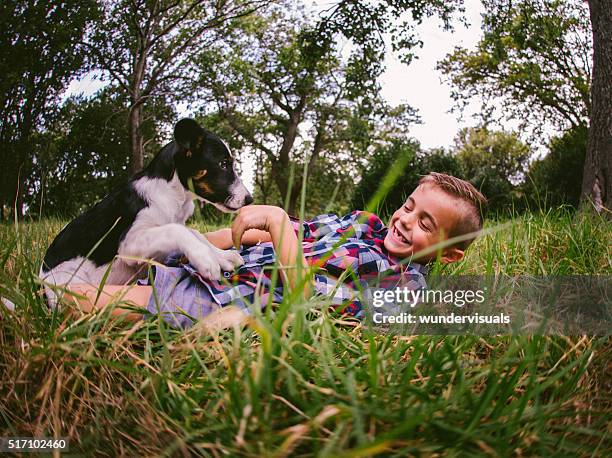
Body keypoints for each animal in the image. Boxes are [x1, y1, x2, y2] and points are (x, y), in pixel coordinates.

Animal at [40, 117, 251, 308]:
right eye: (223, 164)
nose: (249, 200)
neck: (171, 192)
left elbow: (194, 233)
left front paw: (221, 256)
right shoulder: (129, 243)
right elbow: (177, 230)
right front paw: (206, 259)